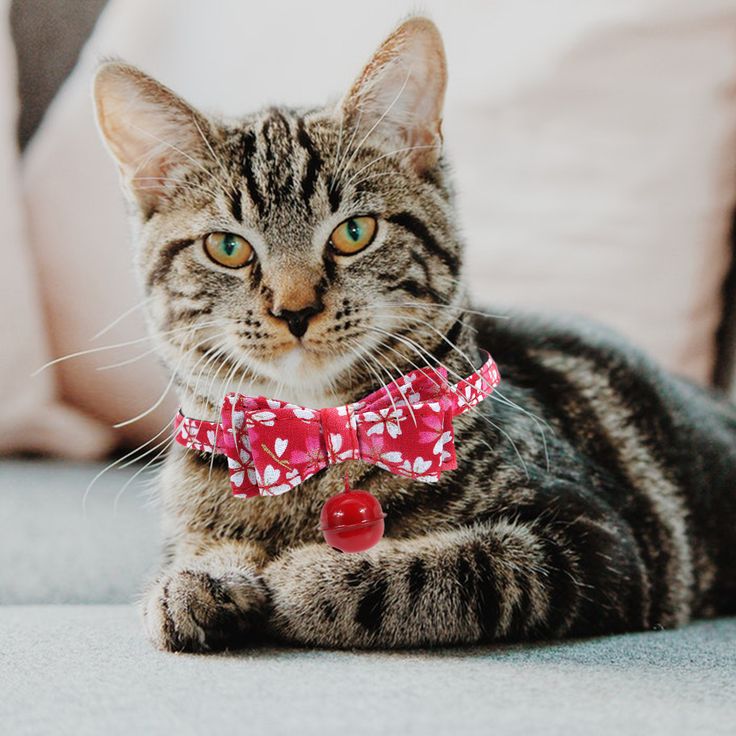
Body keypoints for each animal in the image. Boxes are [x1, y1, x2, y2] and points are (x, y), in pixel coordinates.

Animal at [93, 15, 736, 648]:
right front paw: (195, 580)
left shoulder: (592, 540)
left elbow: (443, 570)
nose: (295, 309)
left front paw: (306, 576)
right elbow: (192, 552)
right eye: (227, 247)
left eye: (354, 232)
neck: (315, 432)